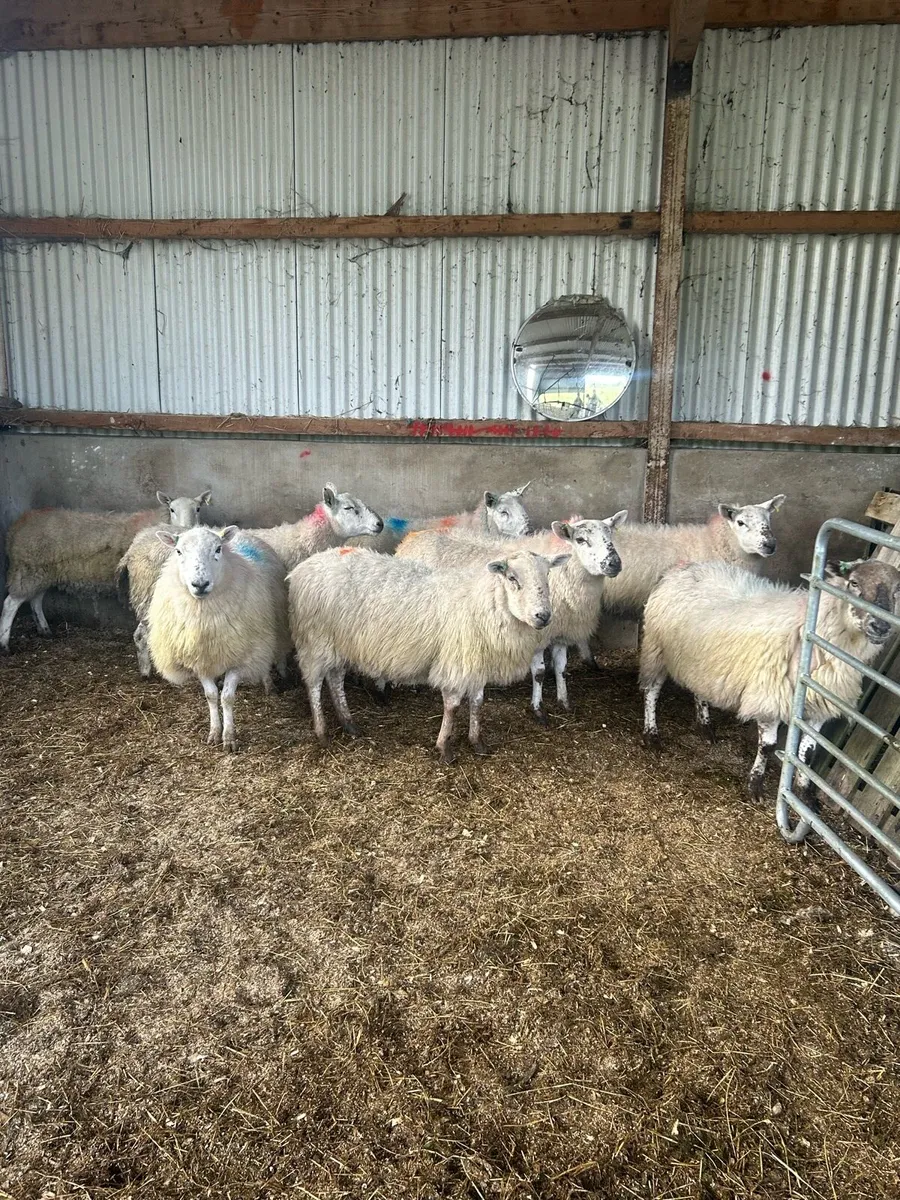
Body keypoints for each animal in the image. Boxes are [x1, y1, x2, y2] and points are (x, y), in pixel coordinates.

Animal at [0, 490, 211, 653]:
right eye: (172, 509)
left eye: (198, 509)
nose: (186, 529)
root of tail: (15, 528)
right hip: (28, 569)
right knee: (11, 604)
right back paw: (5, 645)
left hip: (43, 572)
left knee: (35, 600)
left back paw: (44, 630)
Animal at [147, 525, 291, 751]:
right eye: (178, 551)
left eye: (218, 549)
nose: (200, 584)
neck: (205, 620)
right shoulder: (200, 659)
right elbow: (212, 696)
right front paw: (215, 732)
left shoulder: (239, 658)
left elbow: (228, 698)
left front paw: (229, 737)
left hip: (263, 638)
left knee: (265, 659)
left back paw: (269, 685)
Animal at [287, 544, 567, 763]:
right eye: (511, 578)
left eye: (548, 575)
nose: (543, 616)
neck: (485, 603)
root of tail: (304, 567)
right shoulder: (457, 661)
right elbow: (453, 706)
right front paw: (444, 747)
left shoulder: (476, 662)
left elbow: (477, 702)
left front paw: (477, 742)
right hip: (315, 641)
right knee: (314, 684)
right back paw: (322, 732)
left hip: (338, 644)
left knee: (335, 679)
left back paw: (349, 723)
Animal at [396, 511, 628, 721]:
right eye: (580, 540)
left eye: (610, 535)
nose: (614, 563)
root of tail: (410, 540)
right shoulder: (535, 634)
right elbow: (539, 672)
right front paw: (537, 708)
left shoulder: (562, 631)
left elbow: (561, 668)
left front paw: (564, 701)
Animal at [639, 557, 900, 799]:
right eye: (853, 582)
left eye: (897, 590)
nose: (881, 626)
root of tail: (681, 567)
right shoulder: (770, 697)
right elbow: (768, 746)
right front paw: (755, 785)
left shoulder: (819, 707)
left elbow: (809, 752)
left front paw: (805, 794)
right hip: (657, 649)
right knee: (651, 691)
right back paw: (652, 734)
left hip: (702, 661)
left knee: (699, 690)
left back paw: (705, 727)